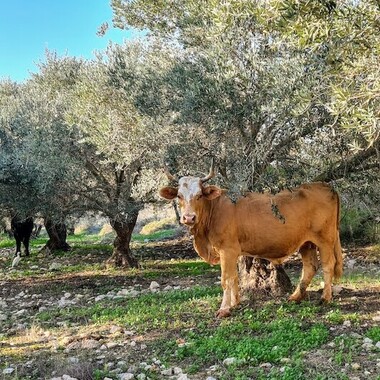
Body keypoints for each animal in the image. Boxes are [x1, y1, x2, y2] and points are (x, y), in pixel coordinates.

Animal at [159, 166, 342, 318]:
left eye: (199, 195)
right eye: (179, 196)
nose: (188, 217)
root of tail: (324, 186)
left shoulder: (227, 250)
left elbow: (226, 279)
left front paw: (224, 309)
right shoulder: (230, 251)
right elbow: (234, 277)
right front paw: (235, 303)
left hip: (325, 239)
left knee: (328, 264)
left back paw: (325, 297)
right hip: (306, 242)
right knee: (310, 266)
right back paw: (295, 296)